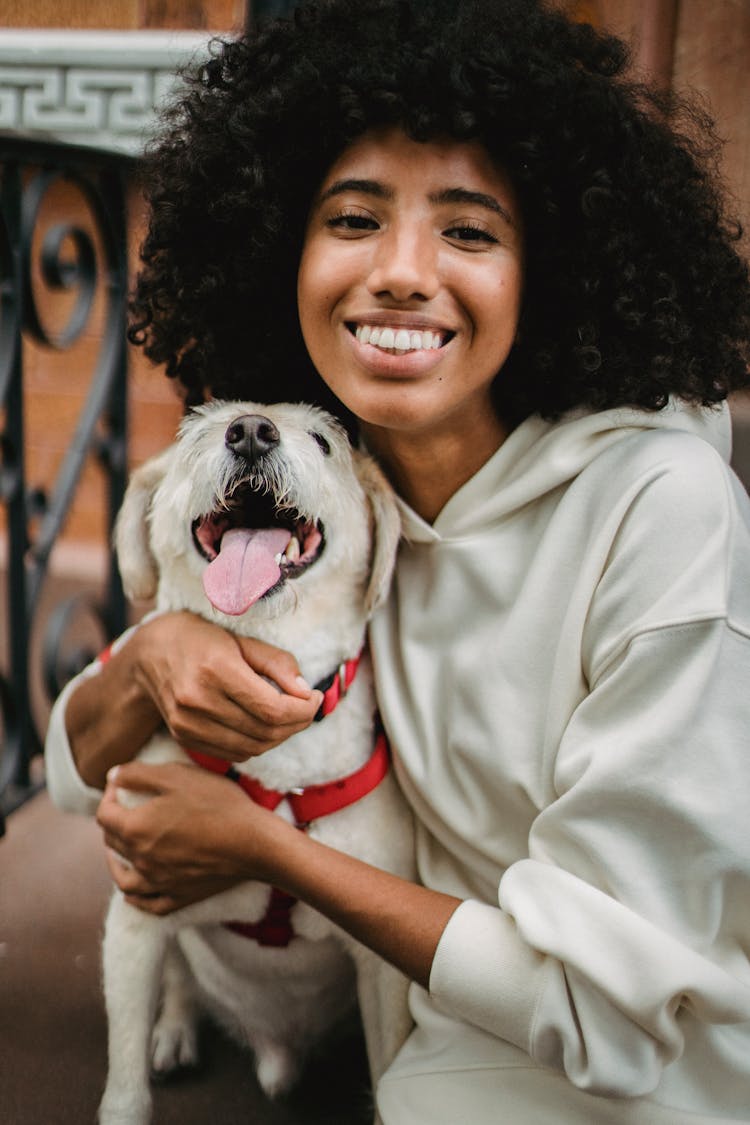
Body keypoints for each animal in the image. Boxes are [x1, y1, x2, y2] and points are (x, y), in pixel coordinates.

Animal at [97, 400, 416, 1125]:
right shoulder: (133, 924)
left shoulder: (382, 971)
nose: (248, 431)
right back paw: (175, 1031)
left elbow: (390, 1072)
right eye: (196, 433)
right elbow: (125, 1089)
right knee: (181, 981)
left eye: (323, 440)